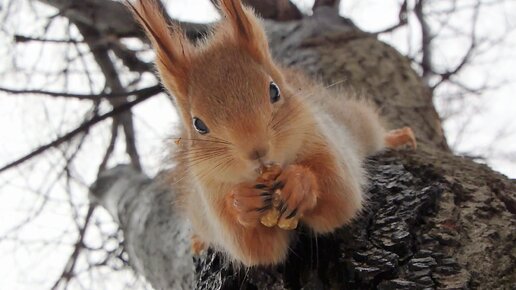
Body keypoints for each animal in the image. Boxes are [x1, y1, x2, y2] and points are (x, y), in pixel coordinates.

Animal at [127, 0, 418, 268]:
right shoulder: (211, 192)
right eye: (198, 124)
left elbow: (341, 197)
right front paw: (244, 202)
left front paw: (299, 183)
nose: (256, 151)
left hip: (352, 120)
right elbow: (254, 248)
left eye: (274, 90)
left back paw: (398, 137)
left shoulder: (327, 142)